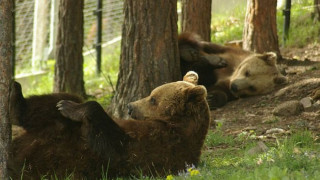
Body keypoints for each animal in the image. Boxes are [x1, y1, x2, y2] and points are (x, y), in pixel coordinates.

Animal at [8, 71, 210, 180]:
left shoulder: (159, 145)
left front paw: (71, 108)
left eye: (153, 99)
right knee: (56, 100)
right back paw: (17, 96)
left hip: (43, 163)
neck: (176, 125)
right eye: (151, 94)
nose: (130, 106)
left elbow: (116, 147)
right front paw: (67, 106)